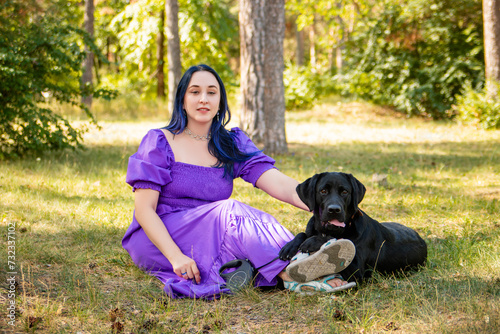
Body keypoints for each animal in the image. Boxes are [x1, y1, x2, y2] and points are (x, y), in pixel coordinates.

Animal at [280, 172, 428, 282]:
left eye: (345, 192)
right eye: (323, 191)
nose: (334, 210)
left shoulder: (356, 271)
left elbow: (335, 241)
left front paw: (313, 241)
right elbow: (302, 233)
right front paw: (289, 246)